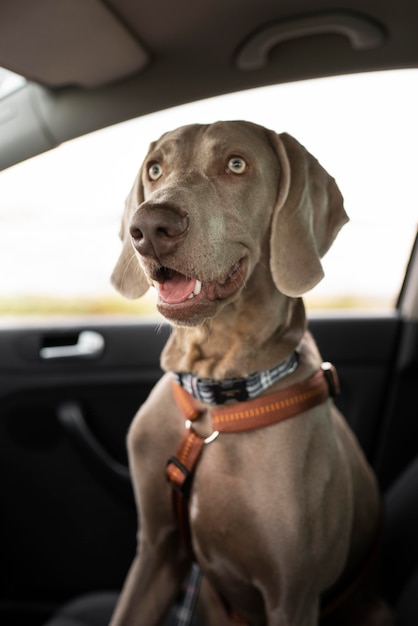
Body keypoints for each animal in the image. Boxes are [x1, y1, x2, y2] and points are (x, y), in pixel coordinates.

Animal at [108, 119, 392, 620]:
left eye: (236, 164)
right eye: (155, 169)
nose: (150, 226)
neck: (213, 396)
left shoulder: (292, 595)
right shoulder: (157, 552)